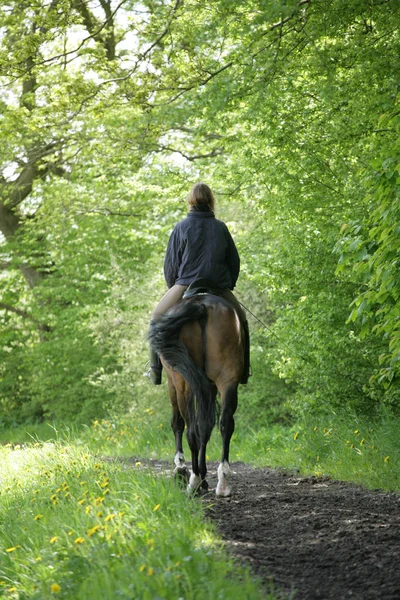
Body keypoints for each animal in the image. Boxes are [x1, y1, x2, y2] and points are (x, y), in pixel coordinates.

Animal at [148, 290, 244, 496]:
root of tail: (201, 306)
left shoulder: (173, 384)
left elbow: (177, 423)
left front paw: (181, 467)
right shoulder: (209, 387)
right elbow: (206, 427)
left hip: (182, 383)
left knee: (190, 429)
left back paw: (194, 480)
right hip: (227, 379)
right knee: (224, 424)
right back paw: (222, 481)